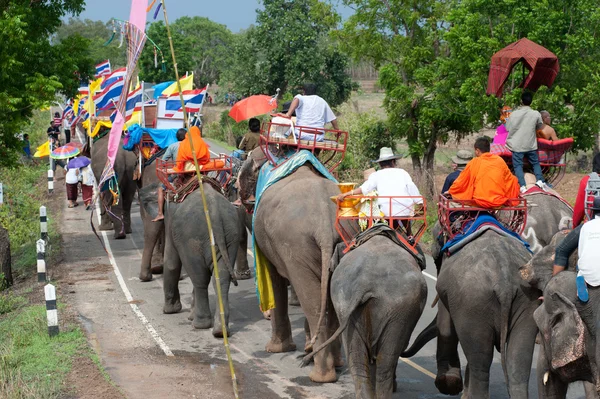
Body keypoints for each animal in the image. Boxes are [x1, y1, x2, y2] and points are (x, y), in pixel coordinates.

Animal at [138, 182, 239, 338]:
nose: (144, 277)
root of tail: (214, 212)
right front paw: (189, 314)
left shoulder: (171, 217)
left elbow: (171, 262)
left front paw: (170, 311)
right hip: (230, 234)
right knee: (221, 279)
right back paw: (219, 331)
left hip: (191, 238)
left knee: (200, 279)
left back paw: (200, 325)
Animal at [238, 148, 344, 382]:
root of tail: (324, 223)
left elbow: (274, 280)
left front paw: (275, 349)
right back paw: (334, 364)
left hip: (295, 243)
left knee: (312, 302)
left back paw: (320, 375)